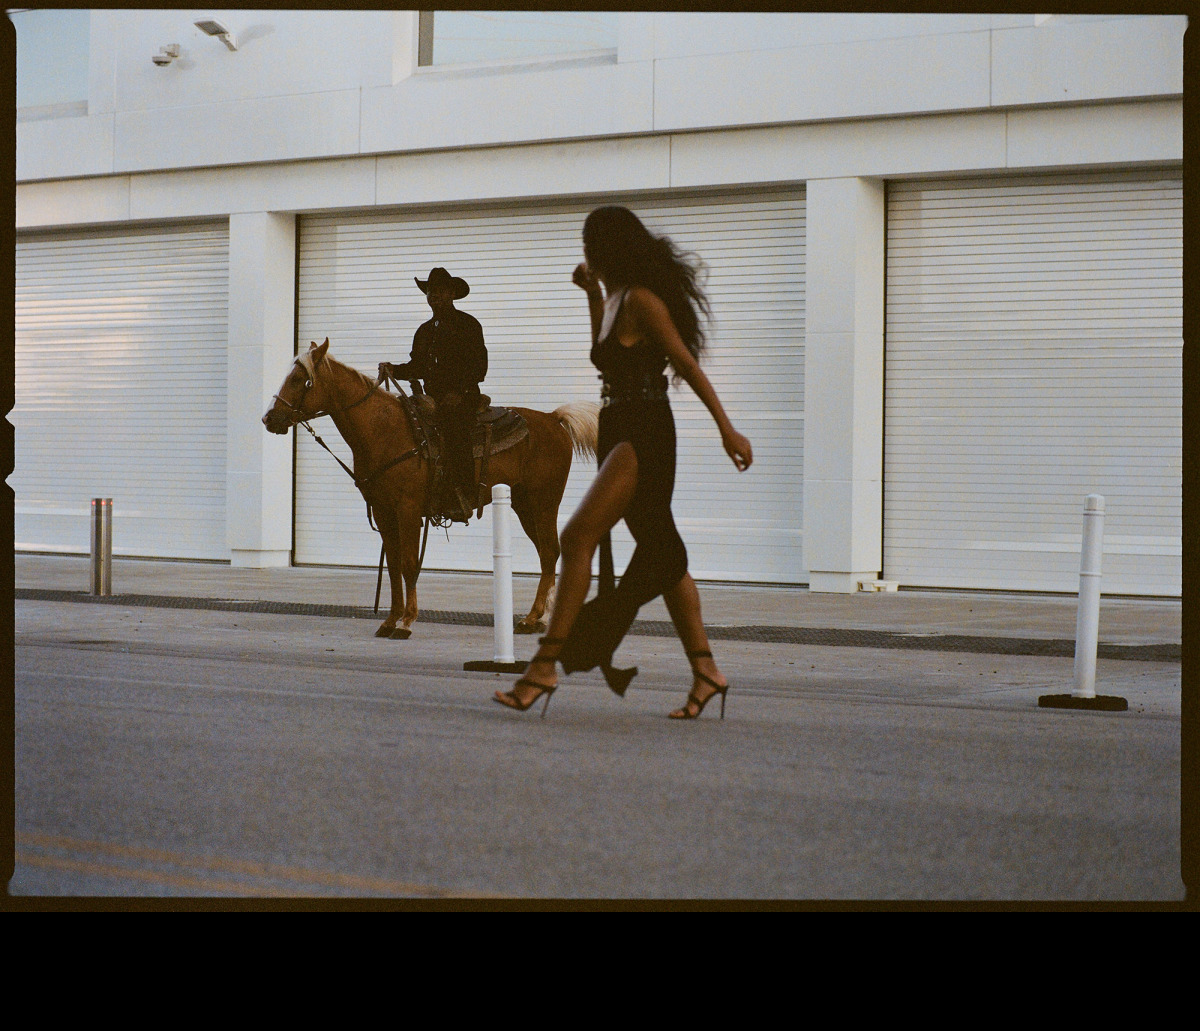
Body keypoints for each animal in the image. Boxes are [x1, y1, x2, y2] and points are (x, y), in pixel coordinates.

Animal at [265, 343, 597, 643]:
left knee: (549, 552)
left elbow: (410, 564)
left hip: (543, 502)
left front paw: (406, 622)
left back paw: (532, 618)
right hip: (525, 505)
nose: (269, 418)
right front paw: (390, 620)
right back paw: (536, 618)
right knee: (546, 555)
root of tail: (553, 418)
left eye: (299, 379)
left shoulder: (408, 509)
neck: (385, 431)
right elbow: (394, 565)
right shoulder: (384, 511)